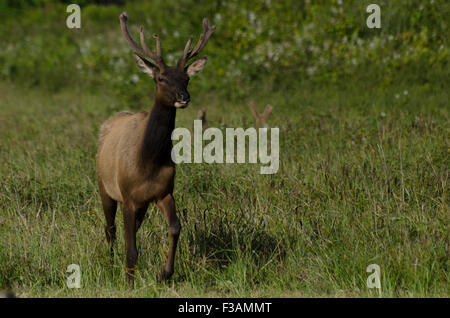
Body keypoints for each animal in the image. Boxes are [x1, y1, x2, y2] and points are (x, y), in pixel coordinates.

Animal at [96, 11, 214, 288]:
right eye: (161, 78)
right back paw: (109, 262)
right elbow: (131, 247)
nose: (183, 97)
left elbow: (175, 227)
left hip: (142, 203)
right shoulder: (128, 196)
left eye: (187, 78)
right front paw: (129, 283)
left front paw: (164, 273)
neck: (147, 163)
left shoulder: (163, 192)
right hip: (104, 186)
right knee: (110, 228)